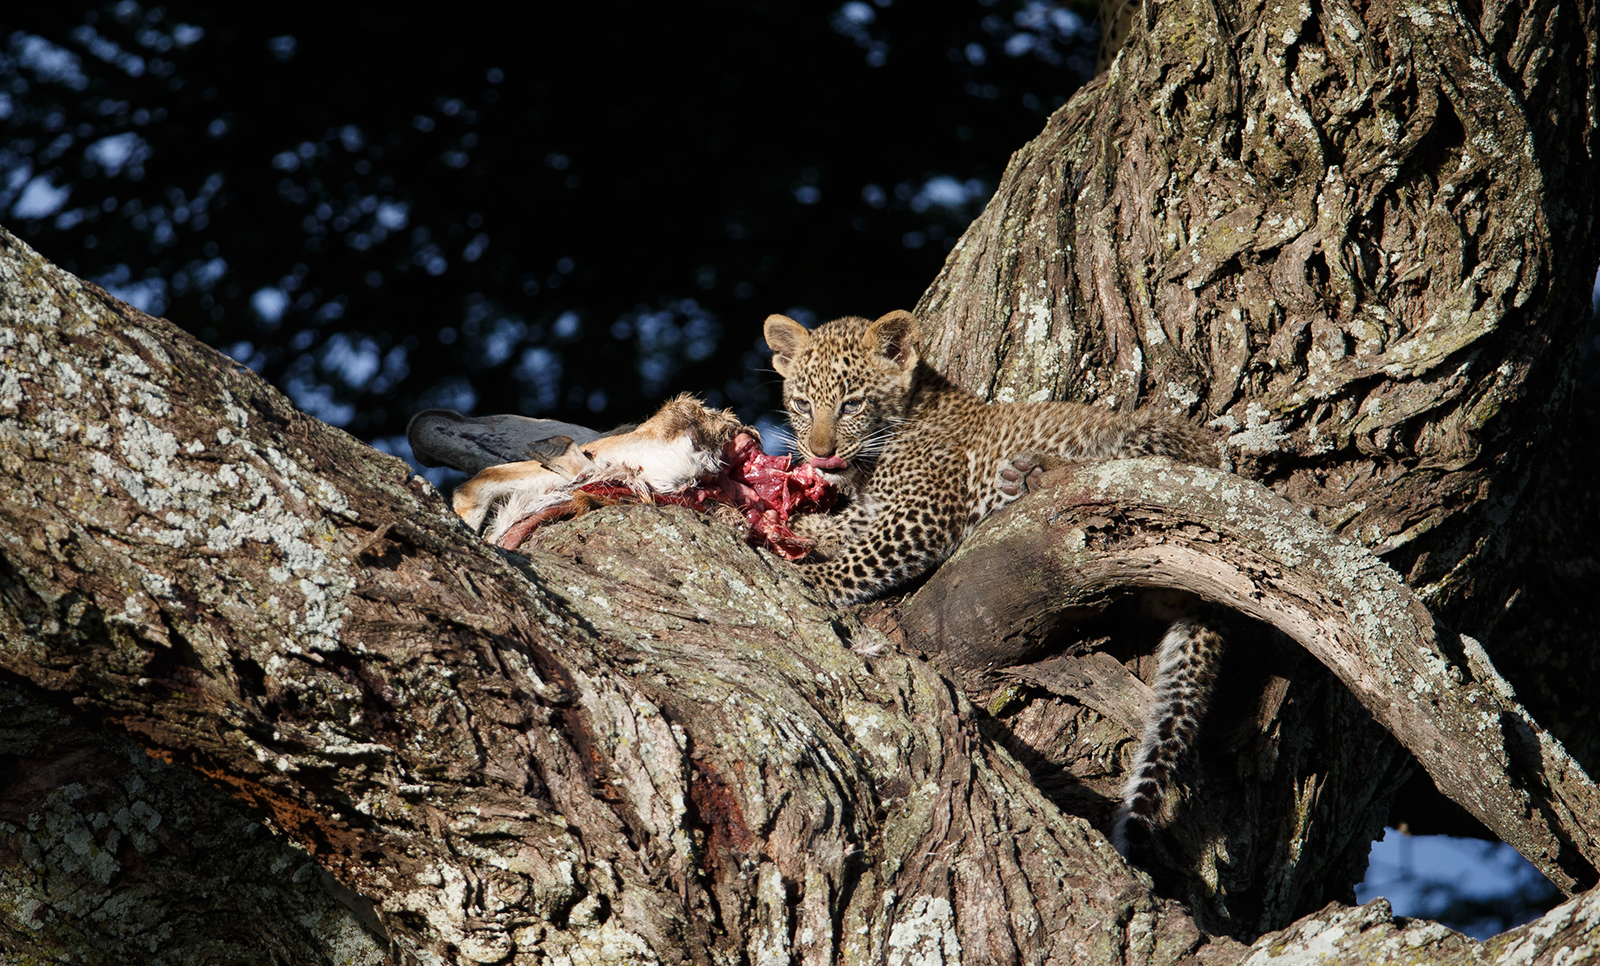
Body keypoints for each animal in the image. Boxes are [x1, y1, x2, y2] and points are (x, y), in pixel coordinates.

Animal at [764, 308, 1225, 856]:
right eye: (801, 404)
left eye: (851, 403)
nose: (819, 454)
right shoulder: (871, 509)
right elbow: (838, 528)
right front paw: (774, 522)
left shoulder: (922, 516)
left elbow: (859, 560)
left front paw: (795, 569)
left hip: (1155, 446)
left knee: (1119, 474)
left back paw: (1032, 474)